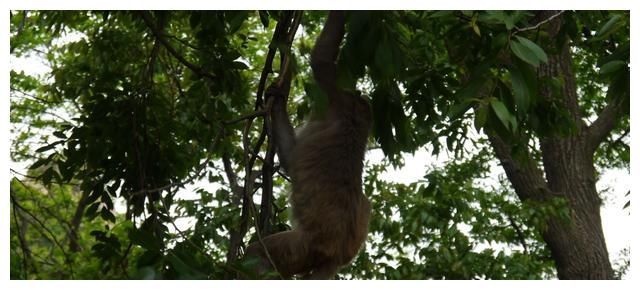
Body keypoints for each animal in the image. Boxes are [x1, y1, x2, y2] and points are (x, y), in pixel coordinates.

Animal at [246, 10, 376, 278]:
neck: (356, 121)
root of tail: (335, 255)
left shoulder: (335, 96)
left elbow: (321, 60)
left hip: (303, 247)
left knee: (257, 254)